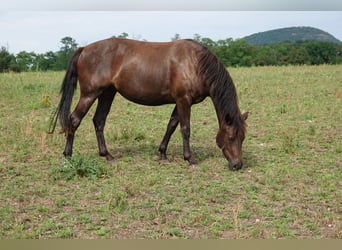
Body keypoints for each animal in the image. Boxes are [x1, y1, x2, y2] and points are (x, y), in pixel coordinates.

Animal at [49, 37, 248, 170]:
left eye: (243, 137)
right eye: (231, 137)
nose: (237, 165)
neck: (195, 63)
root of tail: (84, 49)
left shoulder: (179, 102)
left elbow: (171, 125)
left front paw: (162, 154)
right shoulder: (184, 100)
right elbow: (185, 129)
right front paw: (189, 158)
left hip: (107, 94)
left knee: (99, 121)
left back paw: (107, 155)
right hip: (89, 94)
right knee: (74, 120)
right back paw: (68, 156)